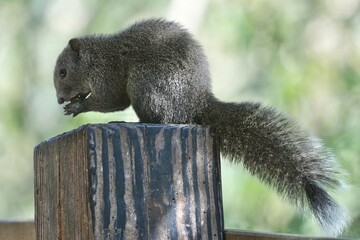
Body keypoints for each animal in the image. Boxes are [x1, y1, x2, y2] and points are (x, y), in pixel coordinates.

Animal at [54, 18, 352, 236]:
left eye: (63, 72)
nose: (58, 99)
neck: (95, 57)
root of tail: (198, 103)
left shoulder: (108, 75)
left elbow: (112, 99)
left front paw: (79, 106)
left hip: (146, 85)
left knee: (164, 117)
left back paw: (133, 121)